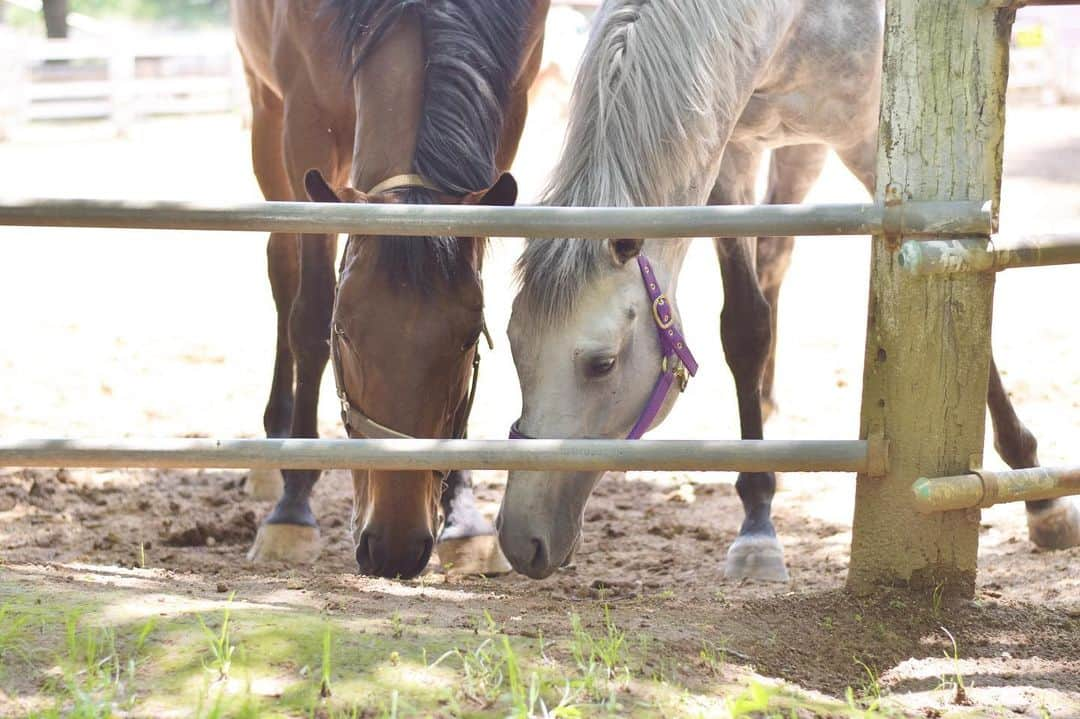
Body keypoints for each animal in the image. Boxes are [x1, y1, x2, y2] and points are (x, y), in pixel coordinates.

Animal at [231, 0, 544, 578]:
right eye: (343, 334)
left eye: (470, 339)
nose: (395, 546)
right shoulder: (303, 119)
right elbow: (308, 315)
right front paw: (293, 510)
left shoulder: (512, 102)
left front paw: (464, 516)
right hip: (266, 112)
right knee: (283, 267)